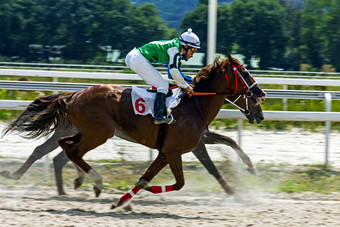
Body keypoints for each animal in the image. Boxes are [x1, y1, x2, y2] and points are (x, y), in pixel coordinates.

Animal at [2, 54, 266, 208]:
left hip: (84, 131)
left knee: (63, 149)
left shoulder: (172, 150)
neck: (193, 104)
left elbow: (228, 143)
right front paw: (235, 190)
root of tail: (73, 95)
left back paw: (77, 181)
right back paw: (94, 182)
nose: (261, 98)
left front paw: (248, 173)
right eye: (245, 73)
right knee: (66, 151)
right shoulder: (178, 149)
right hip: (99, 133)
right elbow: (208, 169)